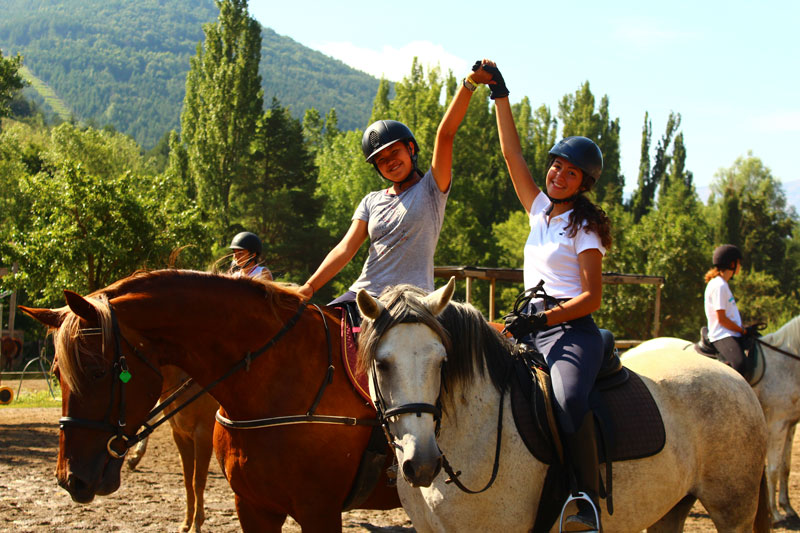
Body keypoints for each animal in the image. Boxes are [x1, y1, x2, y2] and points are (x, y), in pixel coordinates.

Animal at [126, 366, 219, 532]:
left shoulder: (203, 435)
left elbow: (198, 481)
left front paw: (196, 525)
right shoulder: (180, 435)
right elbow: (188, 481)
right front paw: (186, 523)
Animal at [356, 278, 768, 532]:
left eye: (442, 362)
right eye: (382, 363)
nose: (423, 463)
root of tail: (734, 378)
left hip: (733, 509)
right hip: (671, 508)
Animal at [628, 316, 800, 524]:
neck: (784, 363)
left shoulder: (790, 423)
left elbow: (785, 467)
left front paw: (788, 508)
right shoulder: (778, 423)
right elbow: (774, 469)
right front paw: (775, 513)